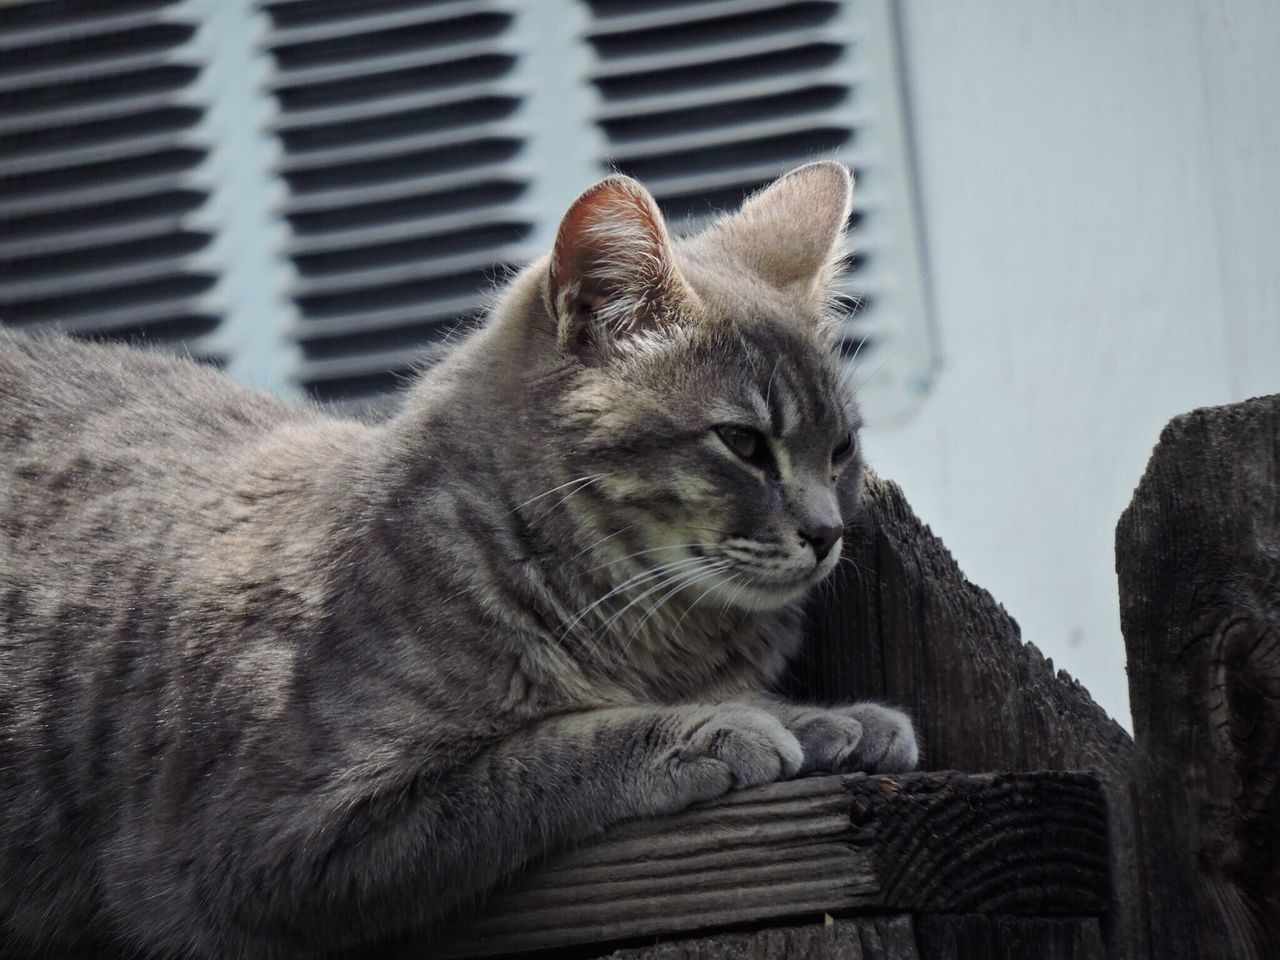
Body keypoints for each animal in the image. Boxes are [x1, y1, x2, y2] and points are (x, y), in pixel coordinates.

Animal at [2, 161, 921, 957]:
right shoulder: (264, 844)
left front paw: (826, 717)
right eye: (743, 443)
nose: (827, 531)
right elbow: (541, 755)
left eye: (841, 450)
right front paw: (710, 727)